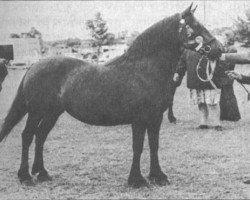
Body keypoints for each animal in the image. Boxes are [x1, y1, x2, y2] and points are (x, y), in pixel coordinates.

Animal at [0, 3, 222, 188]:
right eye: (195, 26)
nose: (219, 49)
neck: (144, 70)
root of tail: (34, 66)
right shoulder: (139, 119)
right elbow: (138, 147)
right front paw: (137, 180)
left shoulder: (155, 118)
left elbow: (154, 145)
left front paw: (158, 176)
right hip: (36, 111)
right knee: (27, 136)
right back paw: (25, 177)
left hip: (52, 113)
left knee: (40, 136)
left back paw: (42, 173)